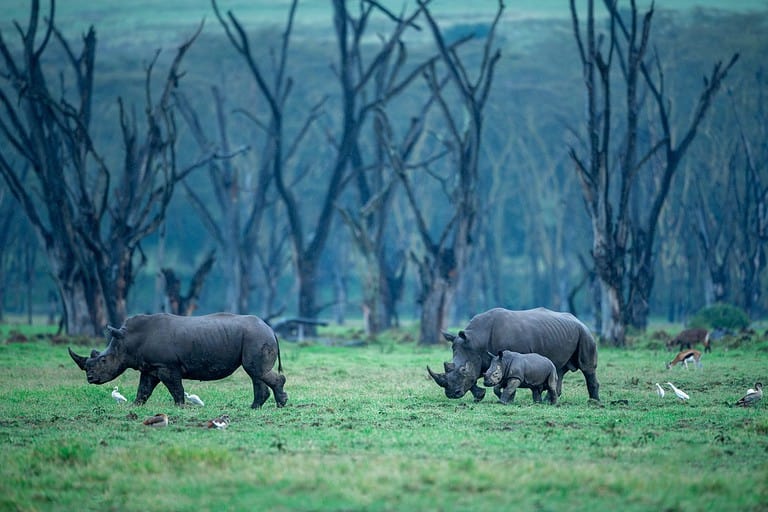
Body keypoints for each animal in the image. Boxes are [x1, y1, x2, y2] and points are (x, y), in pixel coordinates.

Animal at [68, 313, 287, 408]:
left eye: (103, 361)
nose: (90, 379)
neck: (127, 340)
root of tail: (270, 328)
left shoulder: (166, 365)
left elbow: (175, 387)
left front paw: (180, 407)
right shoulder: (150, 367)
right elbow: (144, 389)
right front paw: (135, 406)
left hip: (256, 337)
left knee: (255, 371)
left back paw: (280, 404)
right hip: (254, 337)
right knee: (256, 373)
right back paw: (256, 407)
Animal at [427, 307, 599, 402]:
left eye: (463, 370)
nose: (452, 395)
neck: (476, 341)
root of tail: (578, 320)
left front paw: (508, 398)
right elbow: (476, 378)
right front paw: (480, 396)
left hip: (584, 334)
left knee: (587, 367)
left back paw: (594, 402)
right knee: (560, 369)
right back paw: (548, 400)